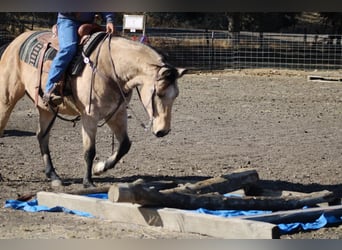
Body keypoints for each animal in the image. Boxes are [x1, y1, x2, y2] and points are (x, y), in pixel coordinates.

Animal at [0, 28, 187, 187]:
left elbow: (125, 144)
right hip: (7, 99)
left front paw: (100, 168)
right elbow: (89, 150)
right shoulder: (89, 115)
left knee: (42, 136)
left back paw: (53, 176)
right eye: (159, 93)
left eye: (176, 95)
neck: (110, 68)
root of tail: (13, 43)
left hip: (46, 109)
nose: (163, 131)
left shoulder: (116, 113)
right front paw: (88, 181)